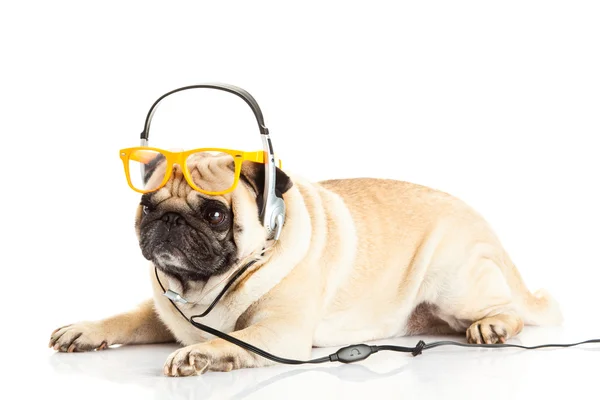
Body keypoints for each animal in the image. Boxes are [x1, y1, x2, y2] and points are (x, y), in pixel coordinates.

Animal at [48, 152, 564, 376]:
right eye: (148, 206)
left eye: (215, 215)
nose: (170, 220)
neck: (204, 289)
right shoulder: (163, 313)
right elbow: (126, 317)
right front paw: (86, 330)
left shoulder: (279, 332)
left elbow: (233, 339)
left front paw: (202, 354)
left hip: (455, 285)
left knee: (509, 310)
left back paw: (492, 326)